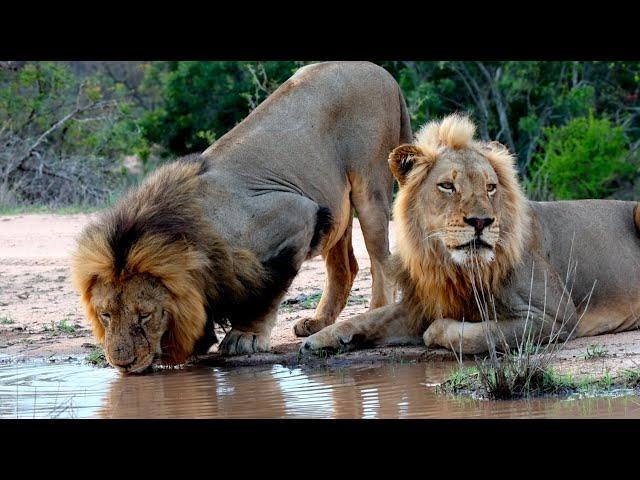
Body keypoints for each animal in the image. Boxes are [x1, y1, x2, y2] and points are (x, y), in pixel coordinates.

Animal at [70, 60, 410, 374]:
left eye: (144, 315)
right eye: (105, 315)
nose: (122, 364)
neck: (192, 236)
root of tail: (382, 72)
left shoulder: (296, 214)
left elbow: (267, 291)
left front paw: (244, 336)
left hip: (369, 186)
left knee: (381, 260)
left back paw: (371, 312)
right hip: (335, 211)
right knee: (345, 268)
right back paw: (317, 322)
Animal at [302, 113, 640, 356]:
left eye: (490, 187)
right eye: (447, 186)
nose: (481, 221)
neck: (456, 269)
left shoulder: (555, 318)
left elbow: (477, 334)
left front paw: (435, 332)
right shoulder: (420, 304)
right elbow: (370, 317)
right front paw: (321, 337)